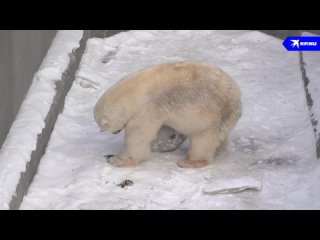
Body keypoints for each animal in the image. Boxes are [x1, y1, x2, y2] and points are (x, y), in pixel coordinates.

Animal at [94, 61, 241, 168]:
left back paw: (189, 162)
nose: (114, 132)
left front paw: (116, 160)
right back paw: (220, 150)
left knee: (204, 139)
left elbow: (137, 138)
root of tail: (238, 100)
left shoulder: (146, 110)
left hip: (213, 114)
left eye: (103, 126)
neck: (132, 95)